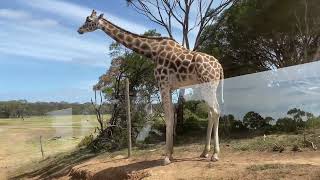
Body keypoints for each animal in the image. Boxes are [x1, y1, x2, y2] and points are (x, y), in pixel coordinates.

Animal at [78, 9, 224, 165]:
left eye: (88, 20)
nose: (79, 30)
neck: (152, 52)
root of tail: (220, 67)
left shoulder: (163, 84)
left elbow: (168, 117)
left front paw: (166, 157)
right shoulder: (170, 87)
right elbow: (172, 115)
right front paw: (171, 153)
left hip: (209, 85)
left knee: (216, 111)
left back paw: (215, 154)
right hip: (203, 87)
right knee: (211, 113)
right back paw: (204, 152)